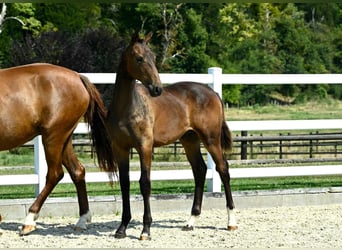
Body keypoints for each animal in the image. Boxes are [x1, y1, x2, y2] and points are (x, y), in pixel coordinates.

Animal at [0, 63, 115, 235]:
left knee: (55, 174)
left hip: (53, 137)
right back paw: (82, 220)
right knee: (77, 171)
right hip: (64, 139)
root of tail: (77, 77)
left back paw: (29, 221)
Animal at [103, 32, 238, 239]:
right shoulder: (120, 148)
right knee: (200, 170)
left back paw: (231, 222)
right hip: (190, 140)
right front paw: (122, 228)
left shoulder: (144, 146)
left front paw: (146, 230)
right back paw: (191, 221)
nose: (157, 88)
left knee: (223, 169)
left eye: (154, 57)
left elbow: (145, 184)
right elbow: (125, 184)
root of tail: (213, 92)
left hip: (211, 139)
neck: (128, 107)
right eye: (139, 58)